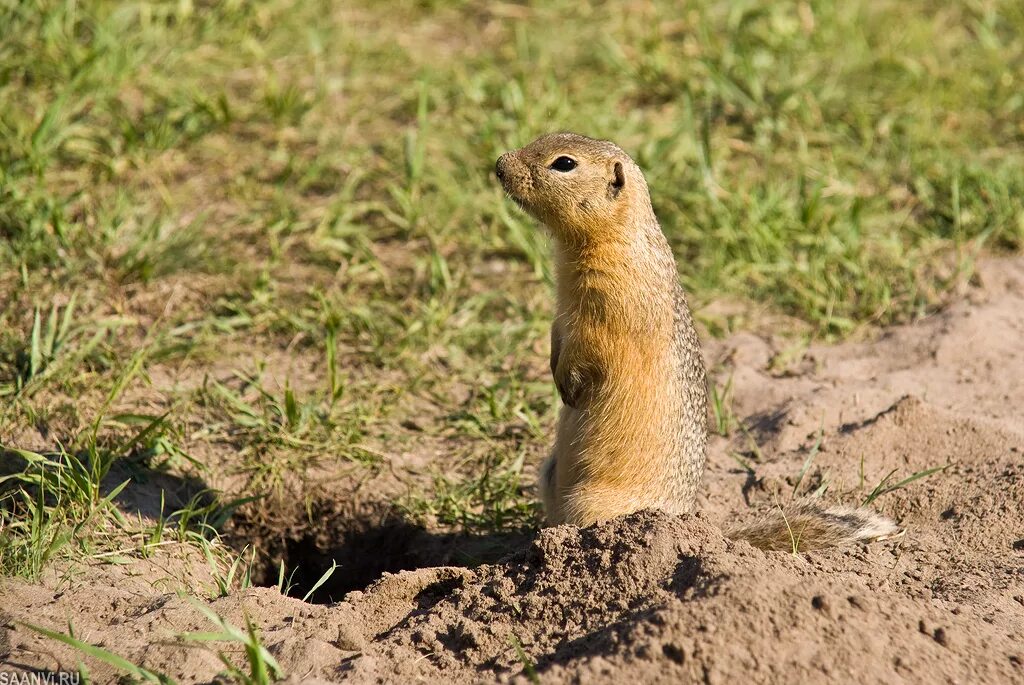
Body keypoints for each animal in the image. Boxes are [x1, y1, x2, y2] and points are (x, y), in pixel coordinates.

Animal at [495, 132, 905, 548]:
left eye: (564, 163)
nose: (499, 164)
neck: (612, 239)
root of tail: (698, 526)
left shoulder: (610, 308)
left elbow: (593, 347)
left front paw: (569, 386)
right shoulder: (563, 308)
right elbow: (557, 336)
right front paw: (555, 373)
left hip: (591, 501)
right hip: (549, 472)